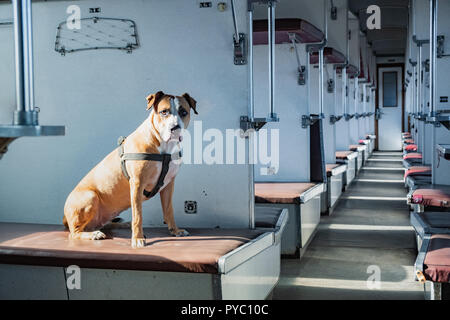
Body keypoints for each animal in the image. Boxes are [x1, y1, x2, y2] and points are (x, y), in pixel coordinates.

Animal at [63, 91, 197, 249]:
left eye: (184, 112)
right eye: (164, 112)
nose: (175, 128)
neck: (164, 147)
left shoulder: (168, 185)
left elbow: (169, 210)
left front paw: (175, 230)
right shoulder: (137, 183)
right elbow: (138, 215)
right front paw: (138, 238)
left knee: (105, 224)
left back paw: (122, 224)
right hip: (90, 196)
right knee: (74, 233)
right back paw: (94, 234)